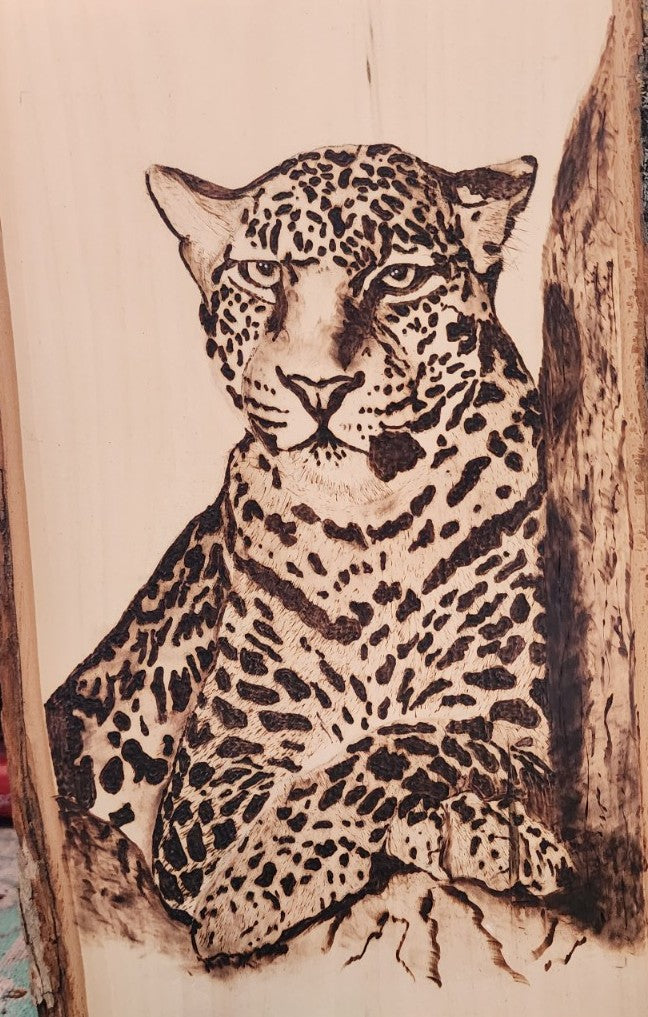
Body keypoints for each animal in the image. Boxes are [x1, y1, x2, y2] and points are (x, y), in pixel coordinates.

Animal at [46, 142, 572, 968]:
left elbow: (410, 743)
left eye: (397, 275)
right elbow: (336, 774)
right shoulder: (212, 778)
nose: (317, 386)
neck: (373, 529)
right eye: (265, 273)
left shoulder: (510, 718)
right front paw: (247, 893)